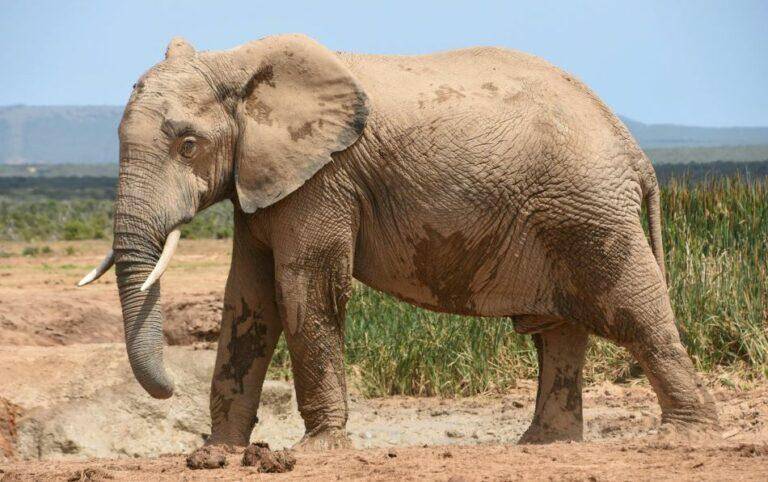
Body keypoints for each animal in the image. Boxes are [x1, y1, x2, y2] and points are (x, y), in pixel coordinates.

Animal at [79, 34, 718, 453]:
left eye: (188, 145)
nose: (166, 391)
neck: (236, 62)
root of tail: (633, 147)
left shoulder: (325, 178)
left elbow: (305, 289)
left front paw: (318, 452)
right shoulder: (263, 179)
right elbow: (248, 299)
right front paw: (215, 456)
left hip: (589, 208)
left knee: (634, 310)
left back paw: (682, 437)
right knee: (561, 330)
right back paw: (542, 445)